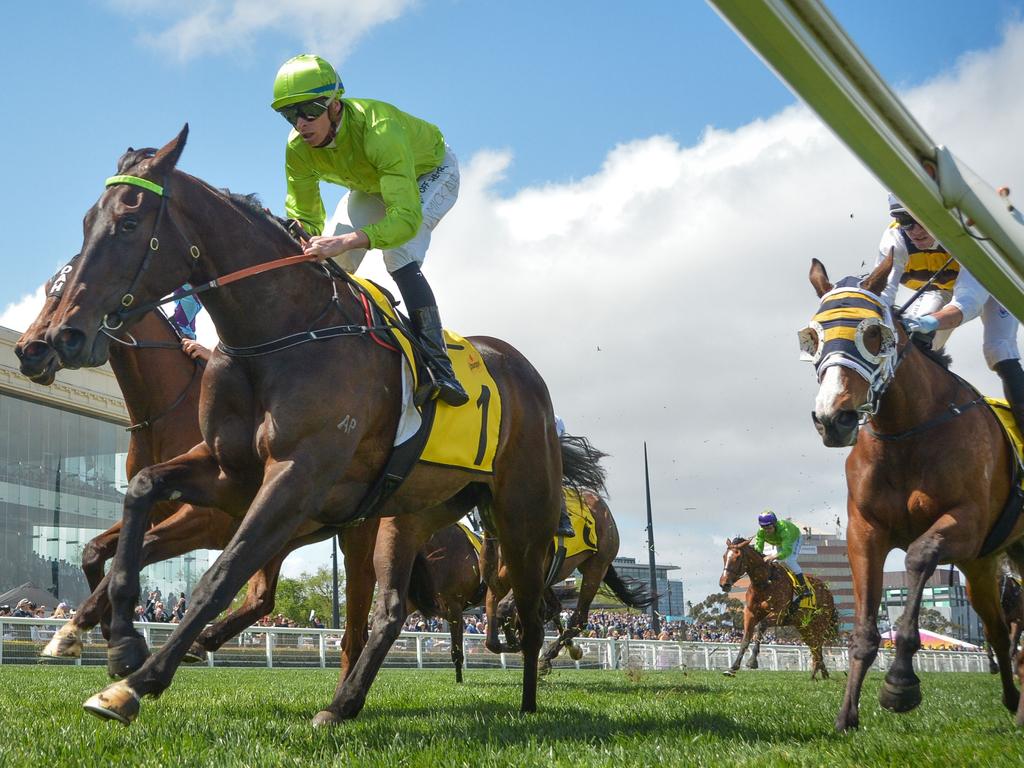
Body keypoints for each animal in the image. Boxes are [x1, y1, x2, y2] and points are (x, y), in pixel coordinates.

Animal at [44, 126, 565, 729]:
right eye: (87, 221)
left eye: (129, 223)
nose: (62, 337)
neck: (280, 334)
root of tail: (525, 371)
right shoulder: (230, 473)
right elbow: (141, 492)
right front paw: (121, 642)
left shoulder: (294, 474)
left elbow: (221, 575)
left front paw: (134, 682)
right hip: (411, 514)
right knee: (390, 611)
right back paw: (342, 703)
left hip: (522, 515)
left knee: (527, 611)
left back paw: (529, 704)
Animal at [716, 536, 835, 684]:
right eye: (724, 556)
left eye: (737, 558)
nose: (724, 583)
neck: (764, 583)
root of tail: (828, 591)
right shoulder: (750, 613)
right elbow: (745, 638)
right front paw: (733, 668)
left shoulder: (779, 613)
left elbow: (761, 626)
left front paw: (752, 662)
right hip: (804, 626)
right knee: (814, 647)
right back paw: (820, 674)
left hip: (820, 624)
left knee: (817, 646)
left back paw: (819, 673)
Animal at [802, 256, 1024, 729]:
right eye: (814, 337)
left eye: (872, 334)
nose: (833, 418)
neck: (907, 430)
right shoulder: (864, 532)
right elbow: (865, 629)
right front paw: (847, 715)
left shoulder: (967, 522)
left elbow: (919, 557)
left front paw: (900, 684)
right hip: (983, 565)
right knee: (997, 630)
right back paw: (1014, 702)